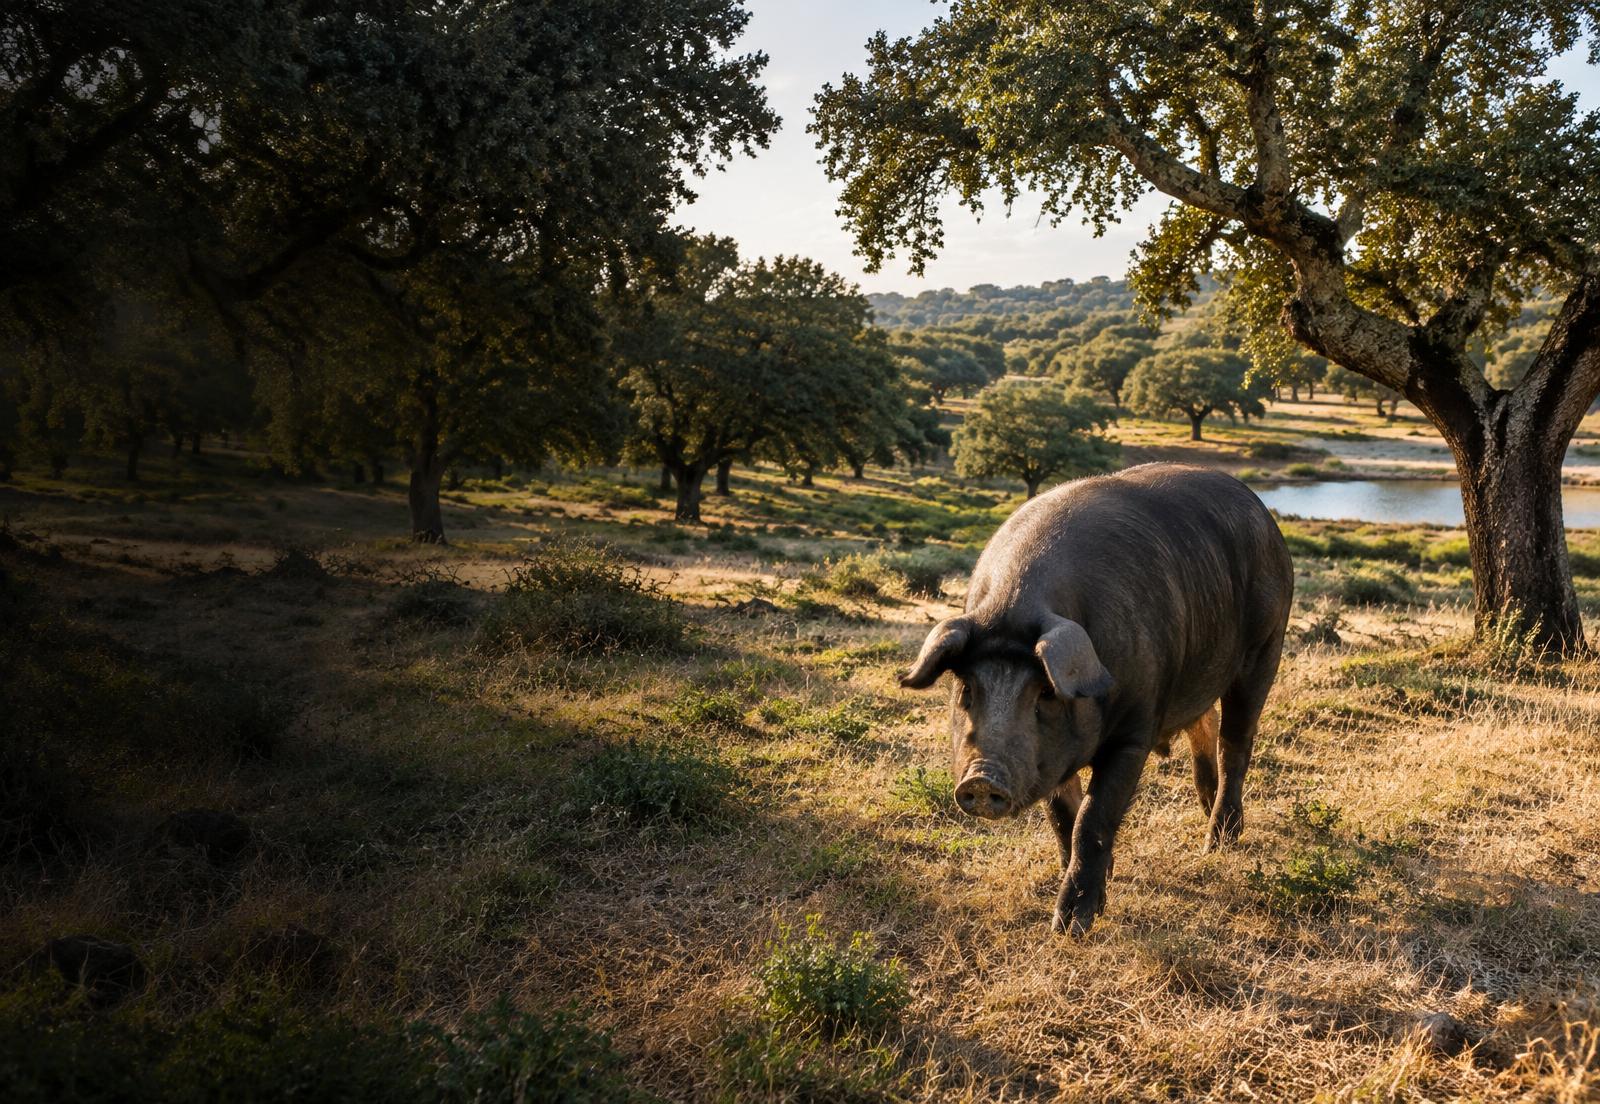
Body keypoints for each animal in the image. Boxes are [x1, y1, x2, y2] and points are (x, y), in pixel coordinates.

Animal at [901, 463, 1293, 935]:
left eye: (1045, 692)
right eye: (967, 690)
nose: (981, 779)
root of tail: (1262, 512)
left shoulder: (1136, 730)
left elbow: (1094, 816)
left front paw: (1072, 925)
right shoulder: (1048, 759)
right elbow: (1063, 817)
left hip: (1266, 646)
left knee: (1236, 741)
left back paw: (1217, 843)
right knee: (1205, 722)